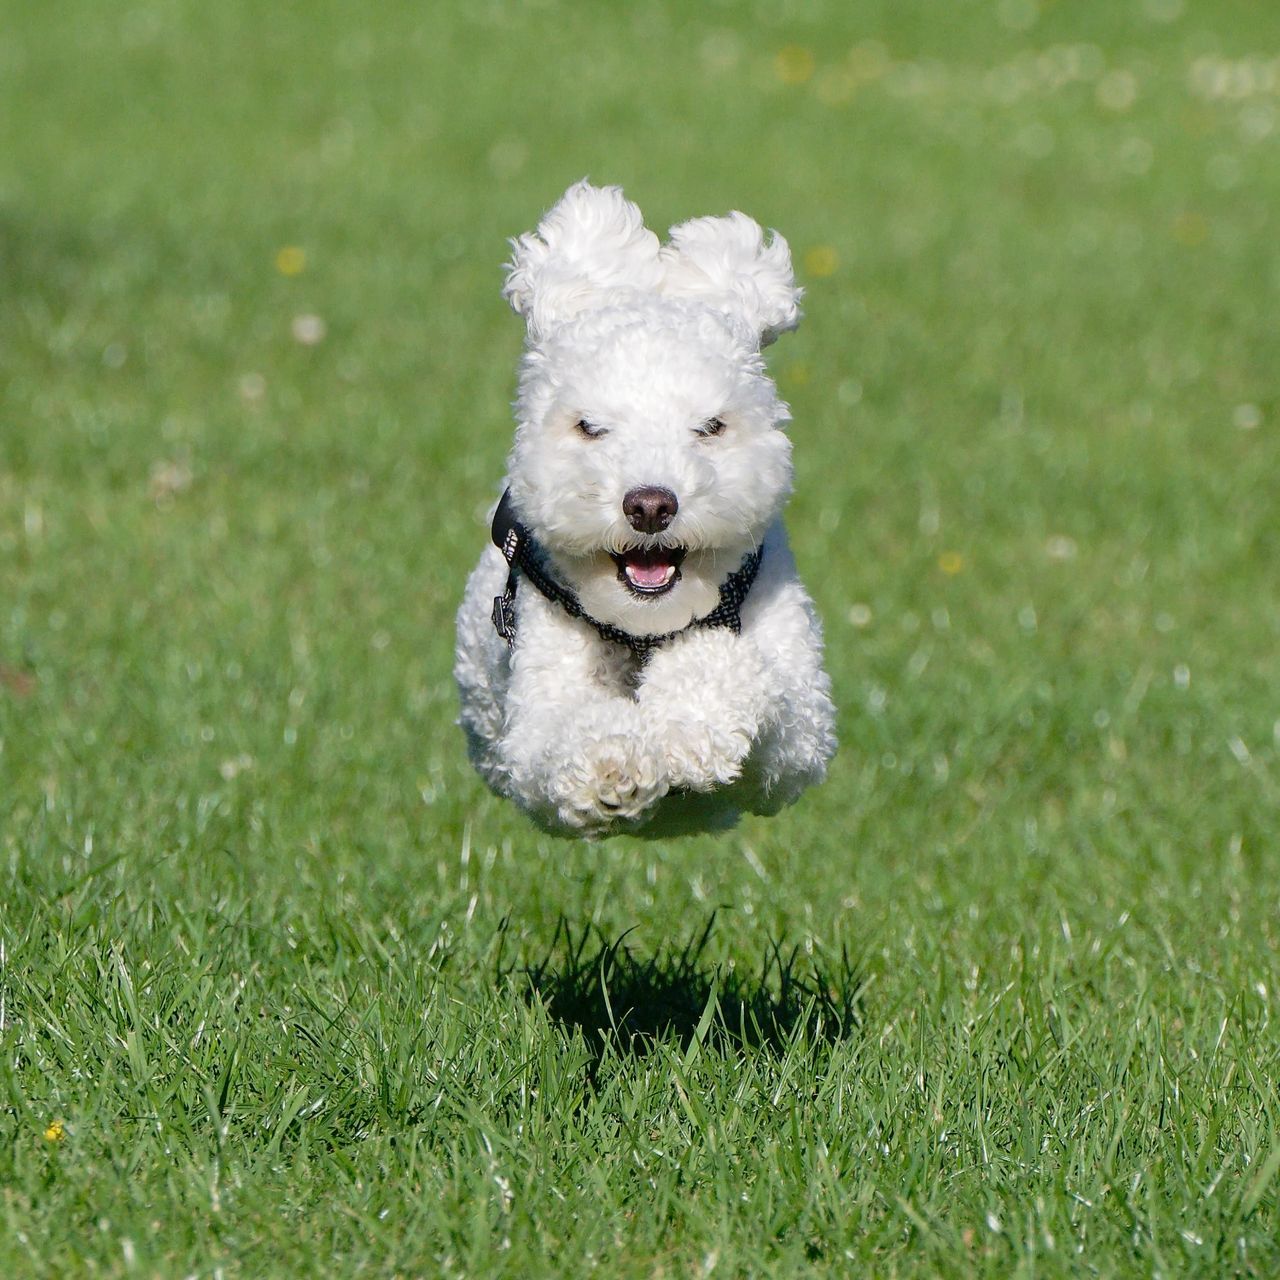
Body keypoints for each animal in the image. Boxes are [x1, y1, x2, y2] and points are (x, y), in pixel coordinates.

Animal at [455, 183, 834, 839]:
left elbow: (737, 673)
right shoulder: (532, 721)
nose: (651, 505)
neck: (644, 631)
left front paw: (692, 728)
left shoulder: (802, 731)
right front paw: (615, 768)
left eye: (710, 426)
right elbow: (565, 734)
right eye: (590, 427)